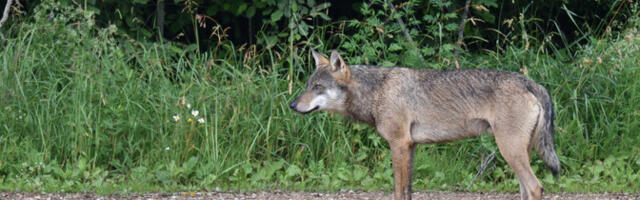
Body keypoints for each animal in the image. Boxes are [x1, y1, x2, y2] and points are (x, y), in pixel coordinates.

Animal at [290, 50, 560, 200]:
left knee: (536, 187)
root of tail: (531, 82)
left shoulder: (399, 144)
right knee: (527, 189)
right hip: (517, 153)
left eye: (318, 87)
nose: (292, 105)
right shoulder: (410, 147)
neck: (377, 91)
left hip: (509, 150)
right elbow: (408, 190)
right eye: (308, 85)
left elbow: (398, 191)